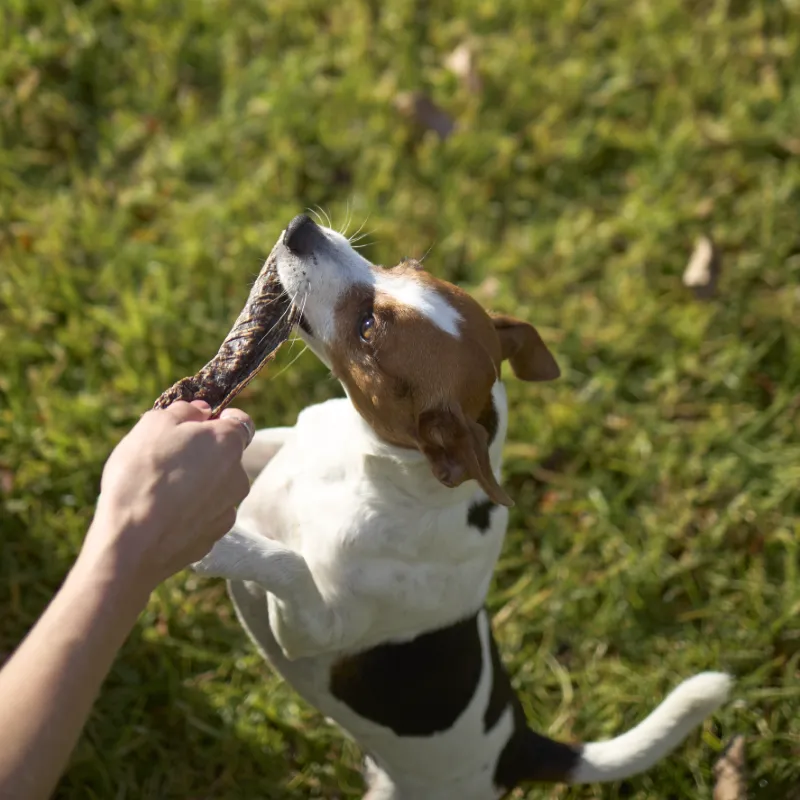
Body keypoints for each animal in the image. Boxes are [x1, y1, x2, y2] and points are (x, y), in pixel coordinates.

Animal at [195, 214, 732, 800]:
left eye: (367, 329)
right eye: (403, 265)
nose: (300, 226)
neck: (367, 473)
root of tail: (517, 749)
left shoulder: (311, 629)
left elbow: (286, 562)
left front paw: (218, 544)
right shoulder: (285, 444)